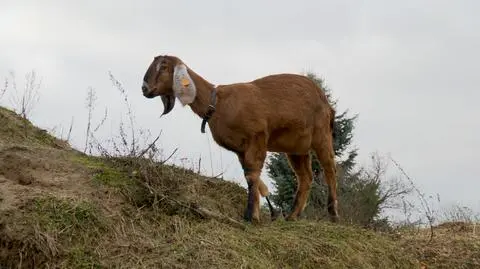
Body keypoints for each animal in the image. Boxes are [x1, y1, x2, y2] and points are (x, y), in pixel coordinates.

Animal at [141, 54, 340, 222]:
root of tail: (325, 101)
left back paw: (333, 214)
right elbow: (249, 177)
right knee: (305, 178)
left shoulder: (257, 138)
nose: (144, 88)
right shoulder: (240, 150)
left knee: (330, 169)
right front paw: (256, 213)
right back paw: (292, 216)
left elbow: (252, 175)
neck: (217, 103)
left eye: (164, 66)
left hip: (322, 135)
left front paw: (250, 216)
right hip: (297, 148)